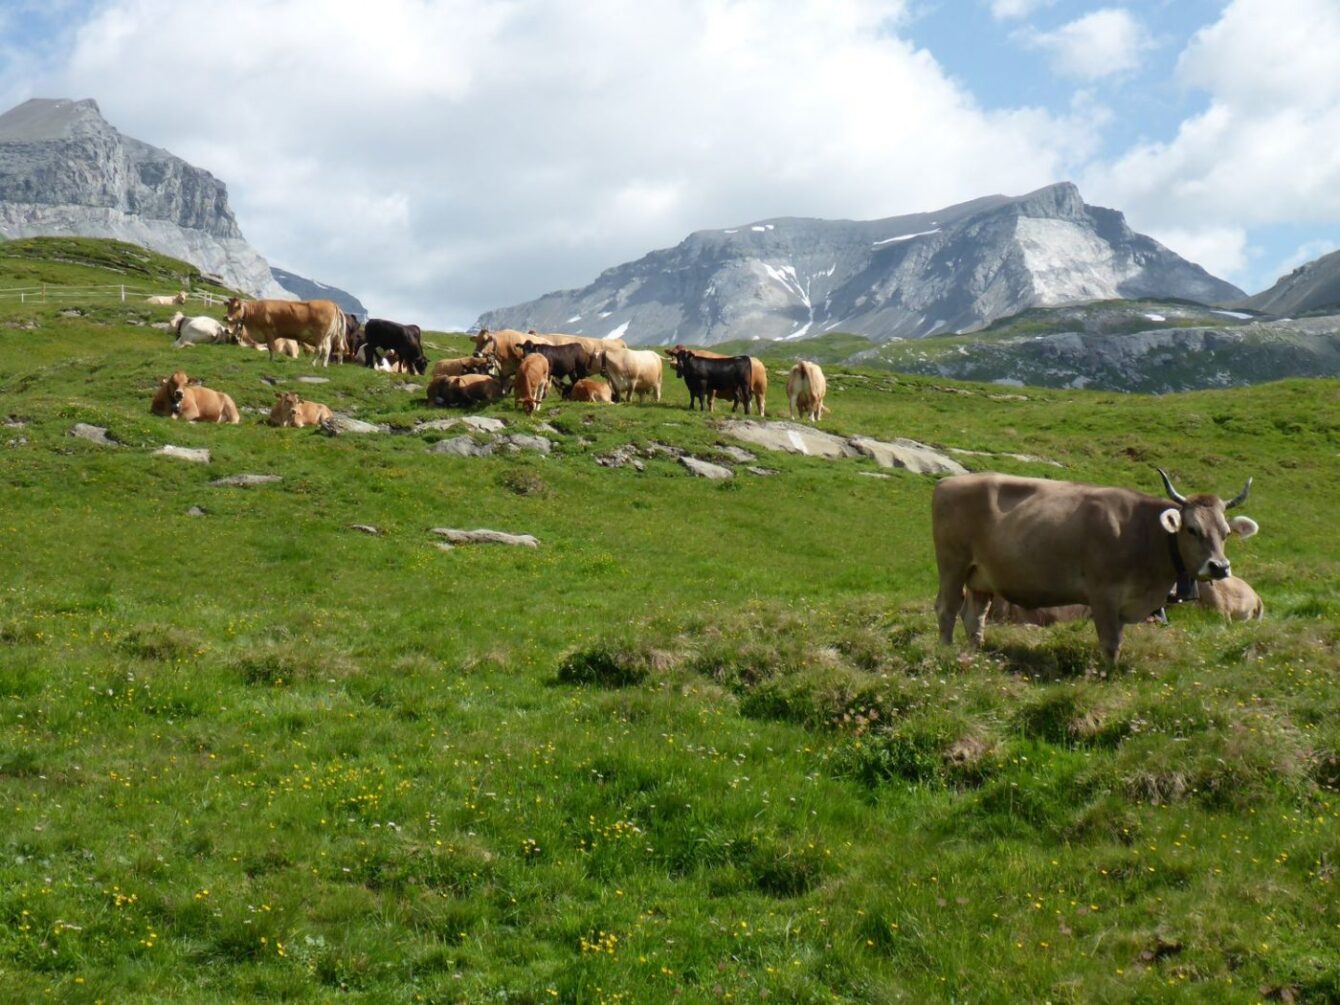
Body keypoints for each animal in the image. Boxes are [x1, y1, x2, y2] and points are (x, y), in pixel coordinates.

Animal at [932, 471, 1254, 670]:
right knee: (947, 609)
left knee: (974, 615)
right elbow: (1110, 642)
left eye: (1225, 533)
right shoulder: (1103, 594)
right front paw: (1108, 675)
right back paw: (946, 651)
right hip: (952, 565)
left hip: (981, 577)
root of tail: (948, 482)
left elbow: (1118, 640)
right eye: (1192, 529)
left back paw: (975, 654)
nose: (1219, 567)